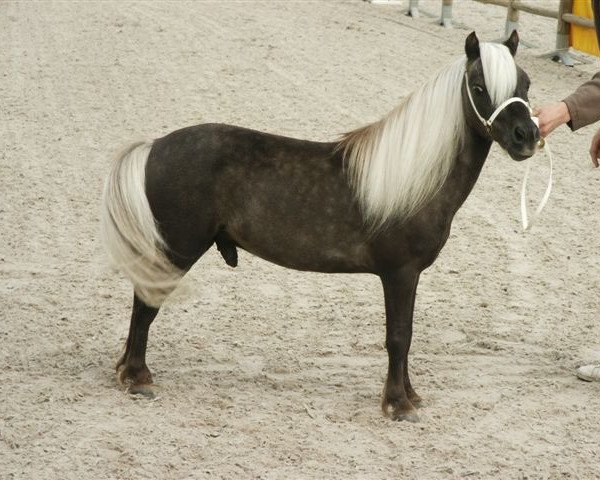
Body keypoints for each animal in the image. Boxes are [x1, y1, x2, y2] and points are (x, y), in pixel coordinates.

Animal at [101, 32, 536, 420]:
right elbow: (399, 337)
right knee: (146, 304)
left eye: (526, 84)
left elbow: (407, 335)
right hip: (178, 250)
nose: (526, 137)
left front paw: (410, 395)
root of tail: (155, 146)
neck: (414, 177)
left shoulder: (407, 277)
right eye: (479, 88)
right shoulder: (400, 273)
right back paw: (138, 378)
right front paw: (398, 404)